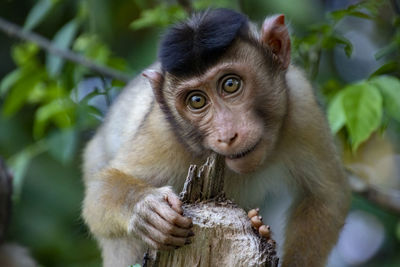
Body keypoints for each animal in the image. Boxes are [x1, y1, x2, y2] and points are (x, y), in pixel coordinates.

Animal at [82, 8, 350, 267]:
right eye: (196, 100)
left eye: (230, 84)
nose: (227, 134)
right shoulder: (163, 134)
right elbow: (99, 191)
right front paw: (148, 212)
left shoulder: (302, 107)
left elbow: (325, 197)